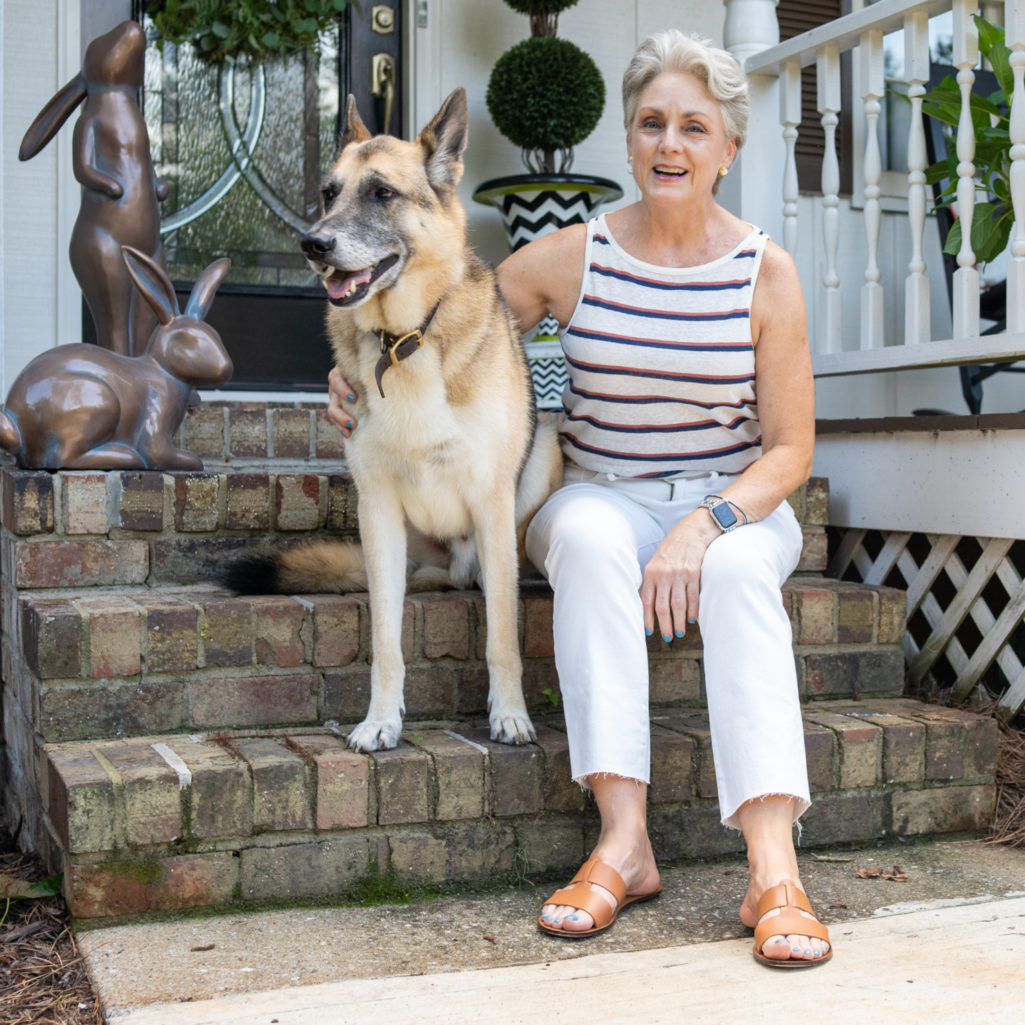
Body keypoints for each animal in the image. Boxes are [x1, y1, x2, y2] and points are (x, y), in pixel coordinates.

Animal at [226, 88, 561, 754]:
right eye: (328, 193)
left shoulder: (491, 500)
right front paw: (381, 720)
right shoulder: (378, 510)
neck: (405, 338)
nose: (312, 244)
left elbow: (503, 637)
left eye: (382, 193)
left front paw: (509, 714)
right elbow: (385, 637)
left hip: (543, 456)